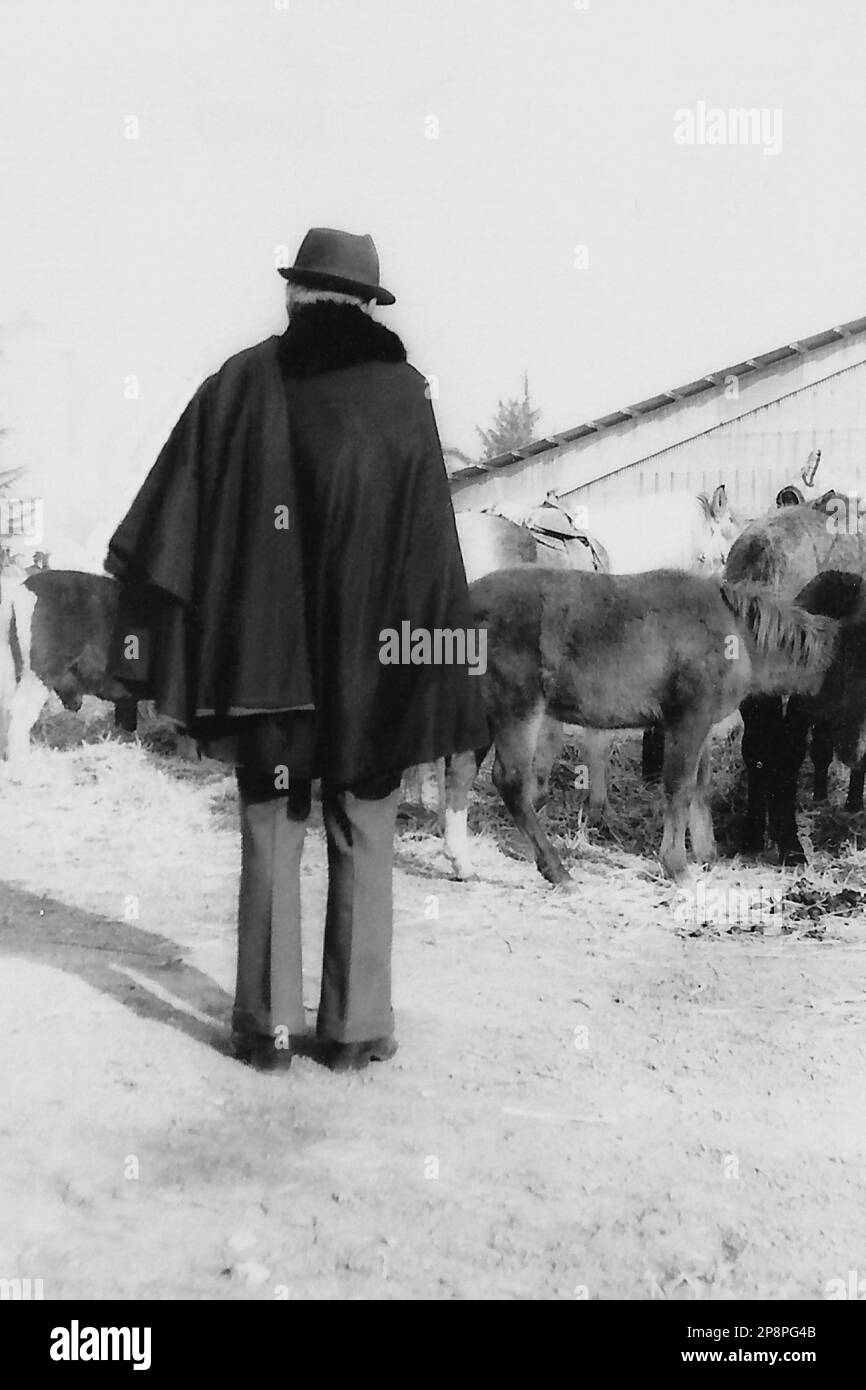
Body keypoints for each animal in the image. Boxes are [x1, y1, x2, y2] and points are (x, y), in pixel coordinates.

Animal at [444, 569, 845, 884]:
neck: (735, 634)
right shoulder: (687, 719)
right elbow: (679, 787)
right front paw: (677, 867)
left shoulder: (700, 725)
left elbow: (700, 786)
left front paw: (706, 855)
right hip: (517, 708)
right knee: (510, 781)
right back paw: (557, 871)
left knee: (460, 774)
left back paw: (462, 863)